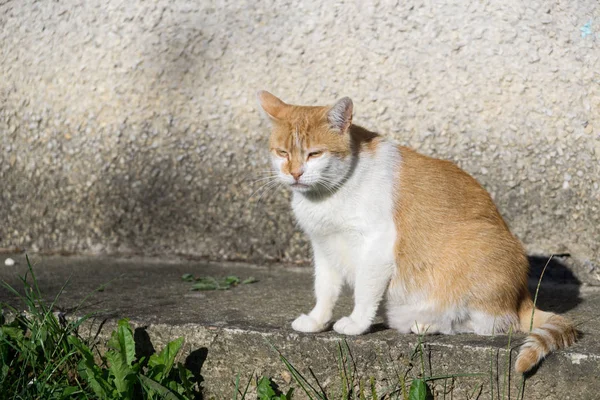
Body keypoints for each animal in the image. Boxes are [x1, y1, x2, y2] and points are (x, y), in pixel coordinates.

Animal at [256, 90, 576, 372]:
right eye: (283, 153)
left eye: (314, 154)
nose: (295, 173)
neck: (327, 196)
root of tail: (523, 296)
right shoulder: (324, 248)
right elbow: (324, 291)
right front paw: (317, 320)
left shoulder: (377, 247)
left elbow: (364, 291)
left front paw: (357, 324)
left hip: (476, 247)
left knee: (489, 324)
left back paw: (431, 324)